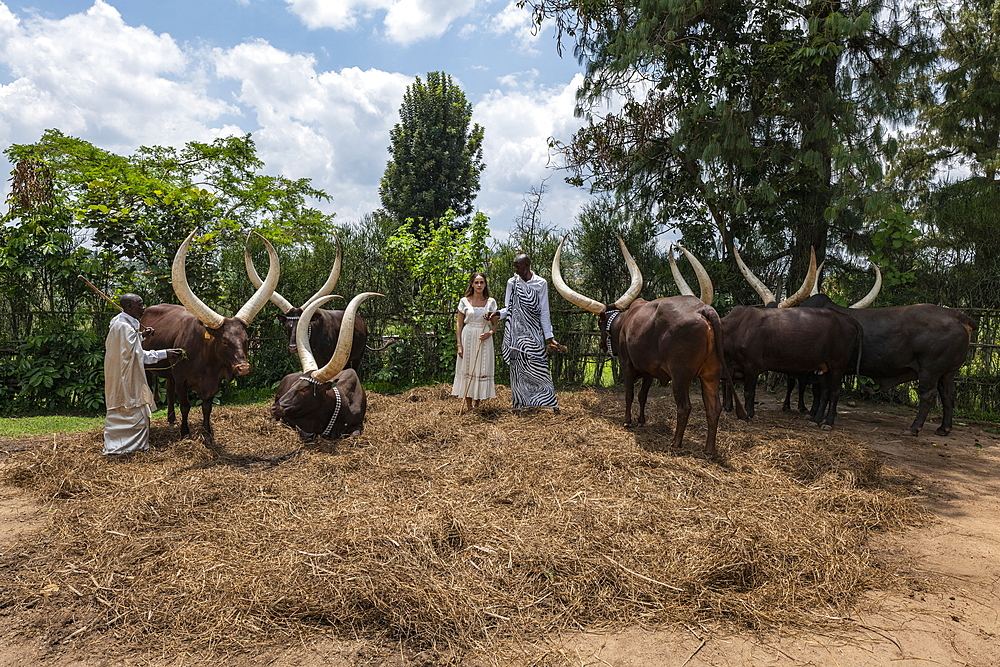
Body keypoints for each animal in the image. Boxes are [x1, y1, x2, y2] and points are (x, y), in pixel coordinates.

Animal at [143, 230, 280, 448]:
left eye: (246, 339)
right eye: (224, 341)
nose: (243, 368)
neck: (205, 359)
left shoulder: (213, 384)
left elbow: (207, 408)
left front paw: (208, 434)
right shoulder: (182, 381)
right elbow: (186, 406)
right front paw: (185, 433)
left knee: (168, 388)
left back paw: (171, 419)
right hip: (149, 369)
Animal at [270, 290, 382, 438]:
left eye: (304, 389)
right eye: (294, 385)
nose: (274, 407)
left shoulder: (358, 424)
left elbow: (355, 434)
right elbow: (307, 433)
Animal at [740, 248, 972, 436]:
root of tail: (957, 316)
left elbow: (821, 391)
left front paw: (817, 417)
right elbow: (819, 391)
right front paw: (814, 415)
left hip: (930, 370)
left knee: (928, 395)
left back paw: (914, 428)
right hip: (947, 372)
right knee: (948, 394)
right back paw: (944, 428)